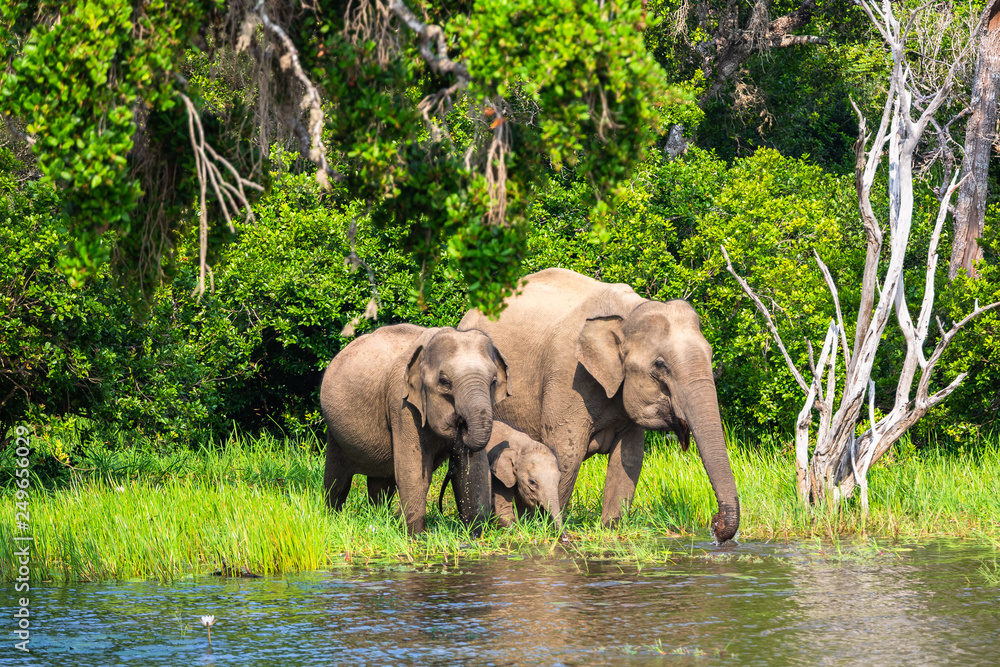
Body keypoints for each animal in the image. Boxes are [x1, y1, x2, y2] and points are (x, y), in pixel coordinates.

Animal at [320, 324, 509, 535]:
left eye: (493, 381)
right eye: (444, 381)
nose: (461, 425)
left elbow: (475, 471)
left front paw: (475, 536)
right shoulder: (401, 403)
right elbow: (413, 472)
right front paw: (417, 536)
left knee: (381, 482)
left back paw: (378, 517)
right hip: (334, 429)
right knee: (337, 479)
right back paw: (332, 518)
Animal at [459, 267, 739, 542]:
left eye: (711, 354)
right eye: (660, 366)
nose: (715, 524)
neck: (629, 311)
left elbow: (629, 458)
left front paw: (611, 530)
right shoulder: (568, 375)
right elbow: (566, 454)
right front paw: (547, 530)